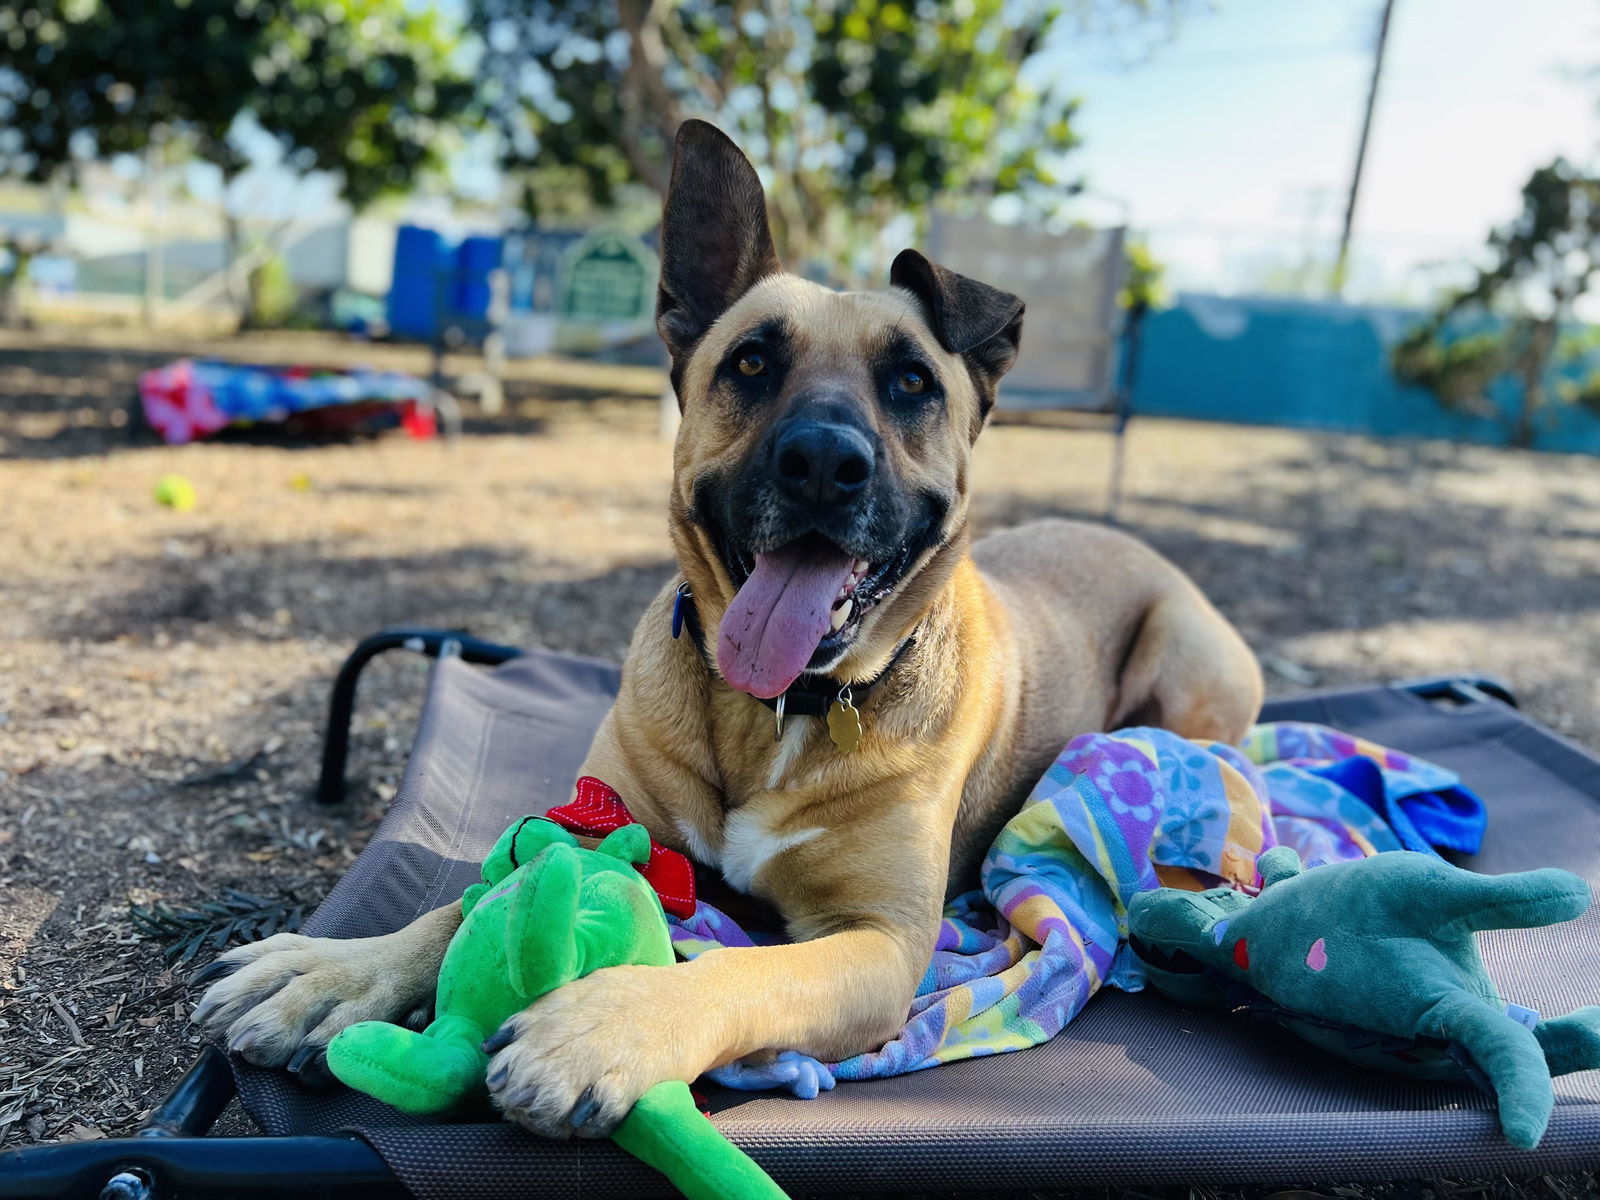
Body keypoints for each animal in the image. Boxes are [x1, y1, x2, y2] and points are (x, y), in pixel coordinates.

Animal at [190, 122, 1260, 1145]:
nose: (823, 461)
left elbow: (743, 972)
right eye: (751, 361)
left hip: (1187, 663)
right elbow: (459, 902)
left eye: (913, 382)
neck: (781, 713)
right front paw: (335, 970)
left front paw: (604, 1026)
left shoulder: (879, 942)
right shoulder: (595, 822)